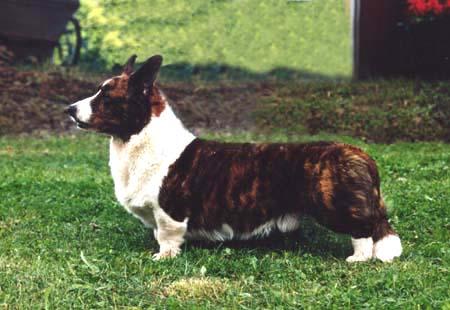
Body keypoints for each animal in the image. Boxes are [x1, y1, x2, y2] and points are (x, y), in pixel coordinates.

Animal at [65, 55, 402, 262]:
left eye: (107, 97)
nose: (69, 109)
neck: (138, 138)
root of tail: (360, 154)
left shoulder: (169, 213)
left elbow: (168, 236)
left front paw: (163, 256)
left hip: (335, 207)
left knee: (364, 231)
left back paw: (357, 259)